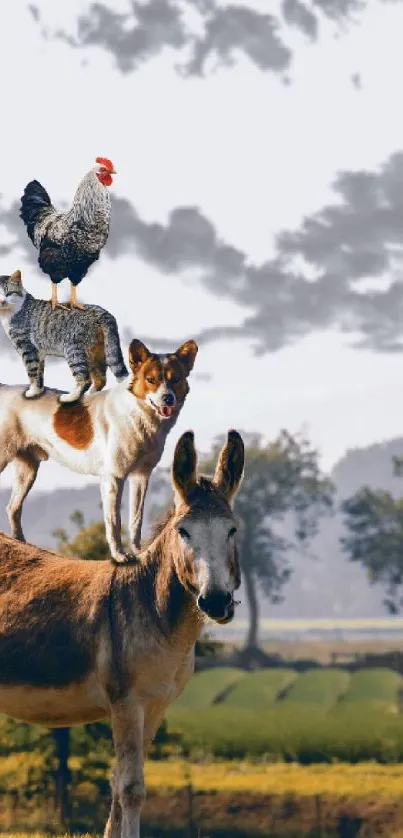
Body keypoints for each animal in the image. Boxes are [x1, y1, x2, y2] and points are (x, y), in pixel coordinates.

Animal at [0, 268, 128, 402]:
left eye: (9, 293)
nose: (2, 301)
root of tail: (102, 312)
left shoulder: (27, 348)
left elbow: (32, 371)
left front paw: (33, 391)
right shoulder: (38, 352)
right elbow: (39, 373)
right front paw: (38, 391)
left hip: (74, 350)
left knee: (85, 378)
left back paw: (71, 397)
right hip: (97, 351)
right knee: (101, 378)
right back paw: (91, 396)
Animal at [0, 340, 197, 564]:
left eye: (176, 379)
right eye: (151, 380)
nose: (168, 399)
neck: (136, 413)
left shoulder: (141, 476)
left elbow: (136, 520)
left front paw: (138, 551)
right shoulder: (113, 479)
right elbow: (114, 522)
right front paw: (120, 555)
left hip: (27, 470)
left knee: (12, 508)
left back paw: (23, 544)